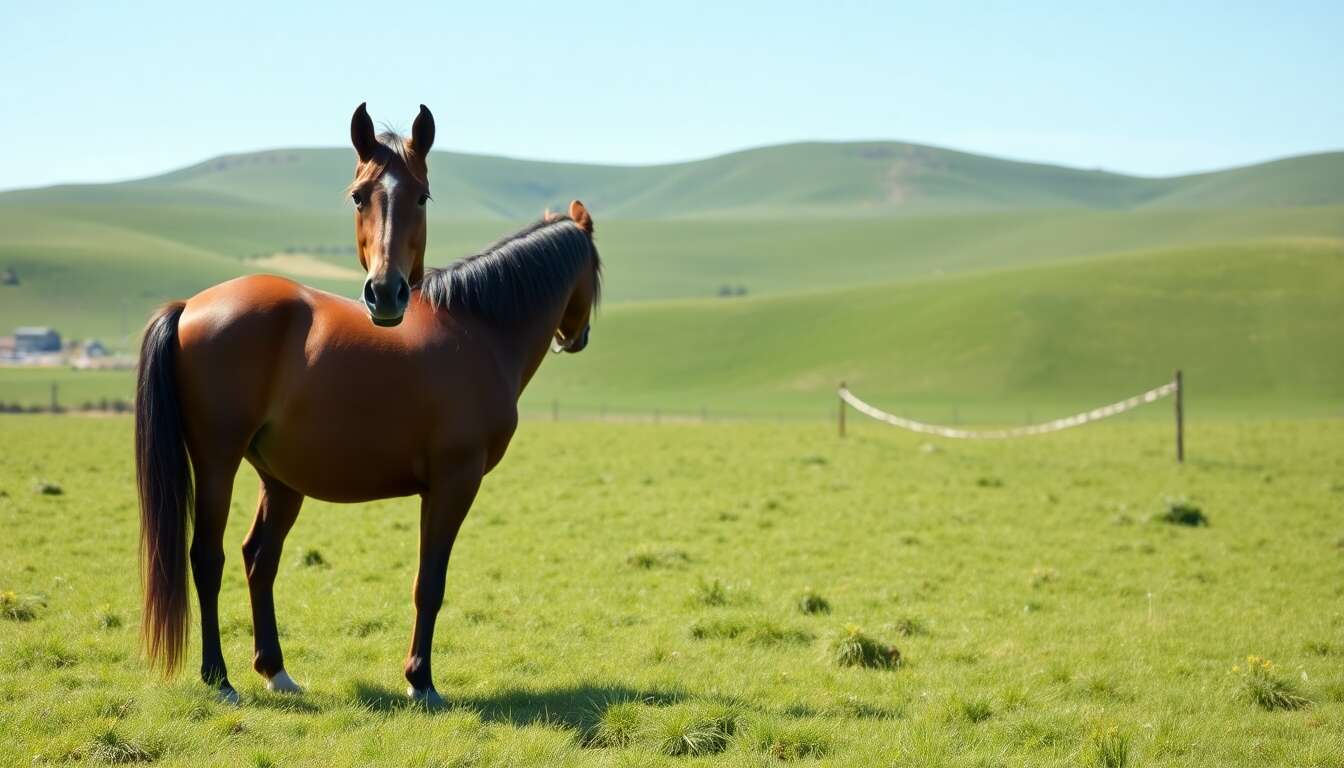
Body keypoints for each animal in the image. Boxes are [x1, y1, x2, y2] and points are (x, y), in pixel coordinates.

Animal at [136, 201, 601, 706]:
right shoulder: (455, 482)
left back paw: (276, 671)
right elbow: (430, 583)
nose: (578, 338)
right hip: (217, 463)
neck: (479, 329)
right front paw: (421, 681)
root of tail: (188, 308)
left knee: (260, 559)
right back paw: (219, 678)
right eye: (596, 268)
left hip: (280, 482)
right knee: (207, 558)